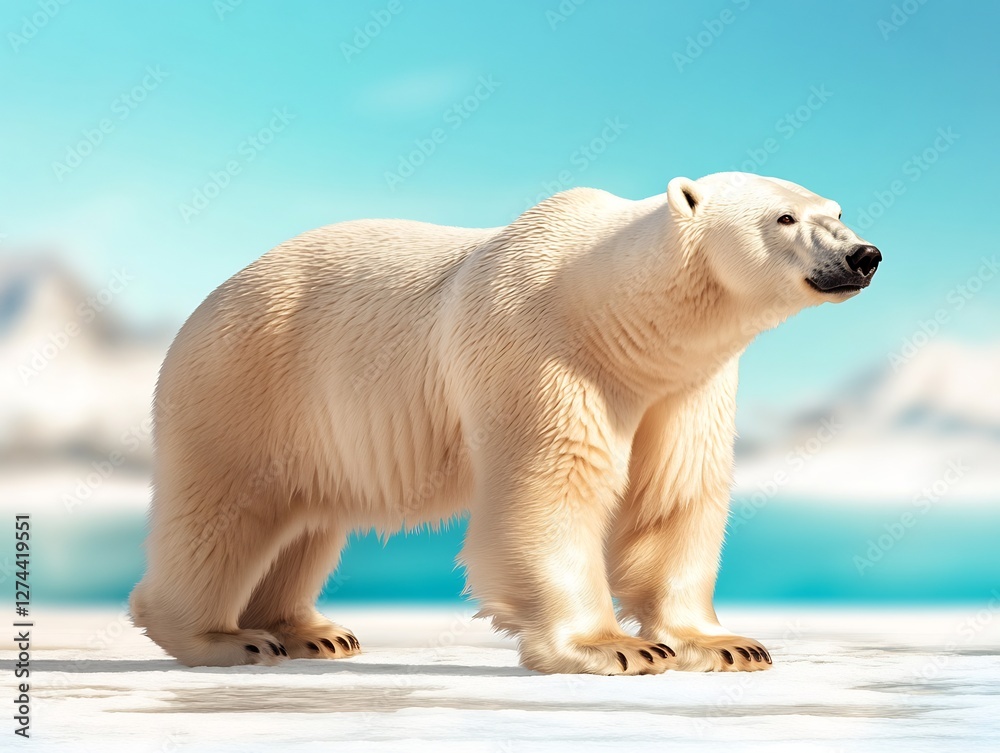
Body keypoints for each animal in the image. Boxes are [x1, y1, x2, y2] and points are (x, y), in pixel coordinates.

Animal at [129, 172, 881, 674]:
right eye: (785, 217)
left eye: (838, 210)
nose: (864, 255)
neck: (615, 319)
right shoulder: (541, 351)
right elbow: (551, 490)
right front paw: (613, 646)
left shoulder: (685, 387)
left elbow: (671, 495)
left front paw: (724, 642)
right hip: (251, 386)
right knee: (225, 513)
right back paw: (222, 637)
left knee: (304, 522)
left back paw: (311, 631)